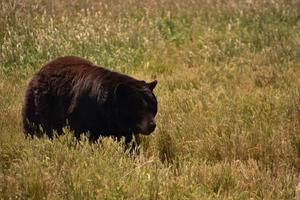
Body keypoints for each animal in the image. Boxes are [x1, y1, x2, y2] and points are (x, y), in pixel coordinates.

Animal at [22, 55, 158, 145]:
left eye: (153, 107)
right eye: (139, 107)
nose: (152, 125)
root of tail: (40, 70)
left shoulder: (120, 125)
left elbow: (128, 141)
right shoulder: (83, 113)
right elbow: (84, 135)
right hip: (40, 104)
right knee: (34, 127)